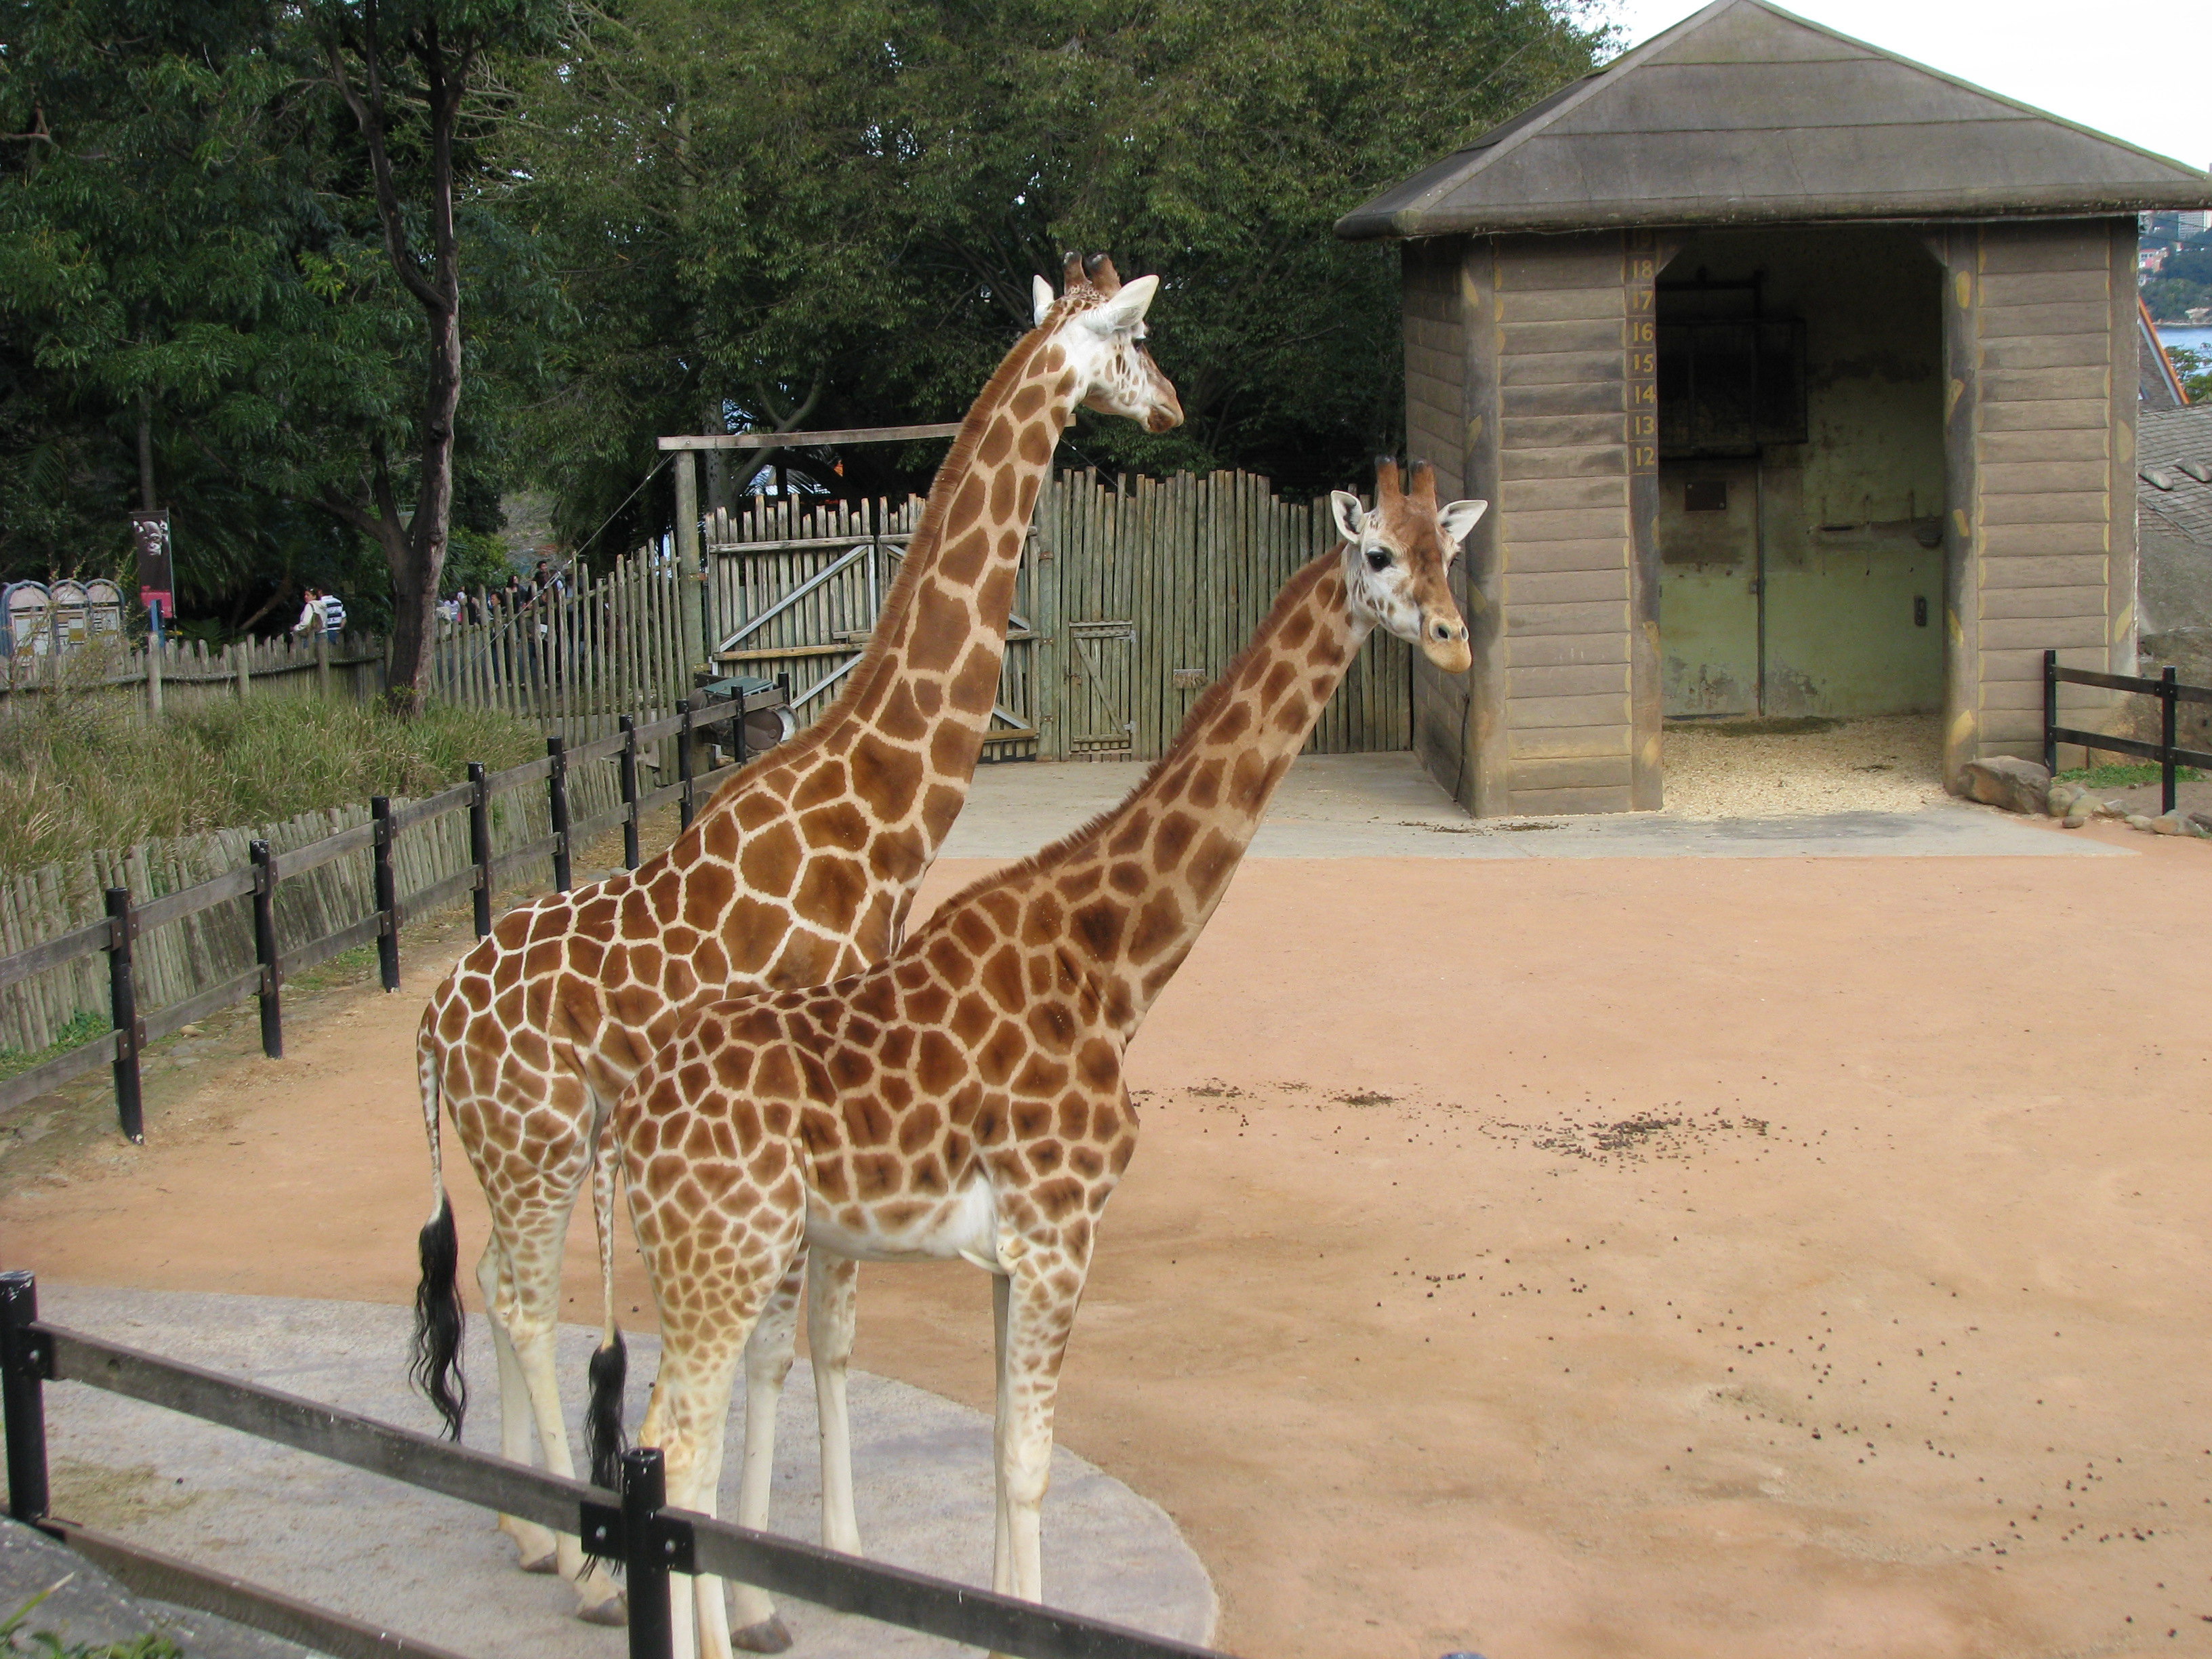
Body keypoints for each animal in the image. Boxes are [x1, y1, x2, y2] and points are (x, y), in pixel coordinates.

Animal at [407, 253, 1185, 1628]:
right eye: (1134, 341)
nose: (1176, 408)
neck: (875, 800)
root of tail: (434, 1024)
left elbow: (819, 1341)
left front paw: (827, 1556)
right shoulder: (808, 1118)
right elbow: (777, 1346)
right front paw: (760, 1593)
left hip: (532, 1149)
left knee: (494, 1288)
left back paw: (528, 1531)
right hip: (541, 1142)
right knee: (520, 1297)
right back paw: (583, 1567)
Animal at [606, 462, 1486, 1654]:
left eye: (1451, 553)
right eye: (1380, 555)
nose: (1454, 642)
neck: (1112, 963)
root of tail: (634, 1116)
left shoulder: (1009, 1256)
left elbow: (998, 1454)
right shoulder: (1064, 1232)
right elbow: (1030, 1466)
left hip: (703, 1261)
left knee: (678, 1456)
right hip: (724, 1256)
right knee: (675, 1449)